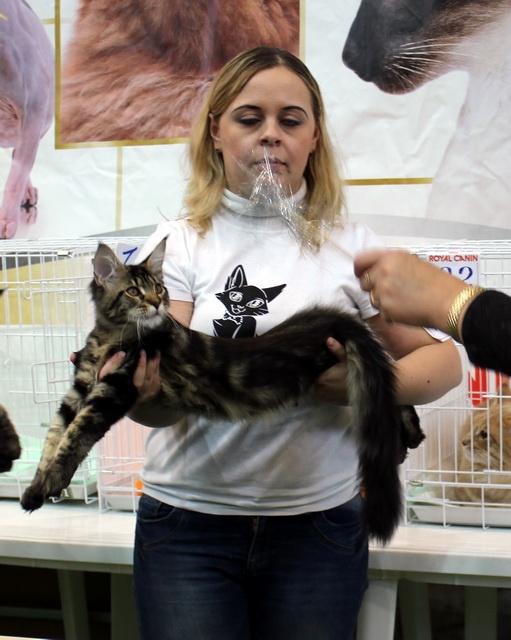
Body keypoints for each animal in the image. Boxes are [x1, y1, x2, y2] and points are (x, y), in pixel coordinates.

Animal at [20, 238, 425, 544]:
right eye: (134, 291)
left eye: (160, 288)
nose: (157, 303)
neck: (109, 336)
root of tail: (328, 319)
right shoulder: (78, 391)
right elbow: (54, 437)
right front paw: (36, 488)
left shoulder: (113, 388)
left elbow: (74, 439)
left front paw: (52, 481)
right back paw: (407, 439)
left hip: (342, 367)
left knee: (390, 387)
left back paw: (410, 435)